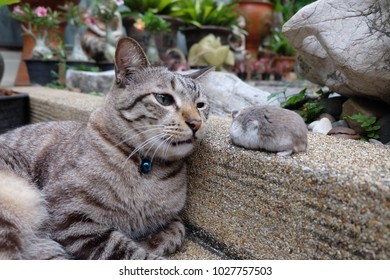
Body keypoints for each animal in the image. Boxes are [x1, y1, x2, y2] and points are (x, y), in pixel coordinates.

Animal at [0, 37, 213, 260]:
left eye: (200, 105)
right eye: (163, 99)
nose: (196, 123)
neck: (147, 166)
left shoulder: (172, 218)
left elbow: (177, 229)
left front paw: (152, 239)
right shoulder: (71, 219)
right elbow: (129, 251)